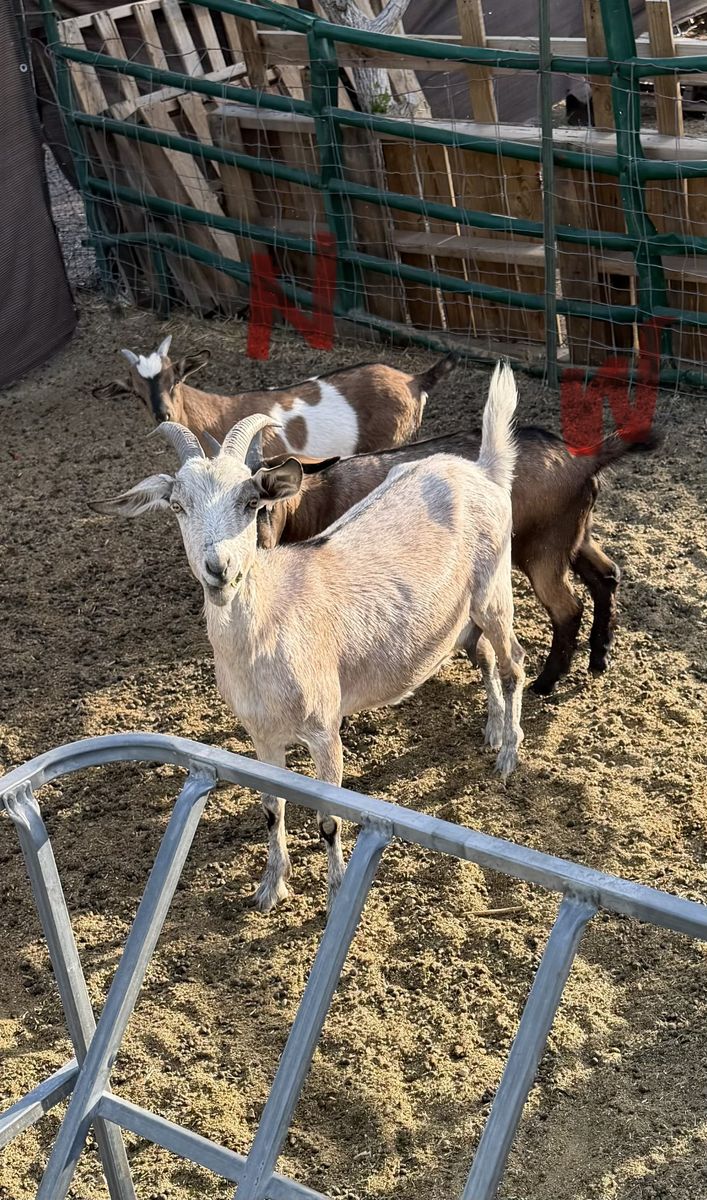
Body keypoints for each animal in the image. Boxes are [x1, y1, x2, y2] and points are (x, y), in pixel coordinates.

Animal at [90, 364, 525, 912]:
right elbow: (272, 809)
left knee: (514, 662)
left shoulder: (324, 728)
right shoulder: (261, 735)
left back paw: (508, 754)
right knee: (485, 656)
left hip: (494, 590)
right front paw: (269, 887)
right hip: (463, 613)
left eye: (252, 501)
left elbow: (328, 818)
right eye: (176, 506)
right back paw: (491, 728)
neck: (269, 631)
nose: (219, 569)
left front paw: (337, 892)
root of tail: (483, 470)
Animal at [93, 334, 457, 459]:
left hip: (394, 439)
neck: (217, 416)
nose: (163, 415)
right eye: (136, 393)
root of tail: (413, 380)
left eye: (175, 380)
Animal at [254, 426, 658, 695]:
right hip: (573, 537)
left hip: (542, 549)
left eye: (267, 503)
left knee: (567, 609)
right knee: (607, 575)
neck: (316, 499)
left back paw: (545, 683)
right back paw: (599, 656)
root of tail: (583, 457)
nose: (257, 546)